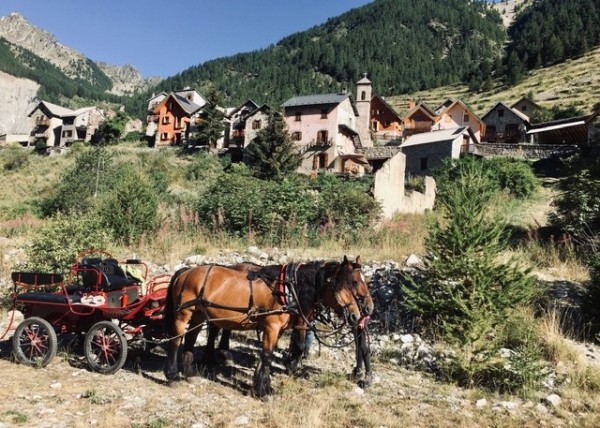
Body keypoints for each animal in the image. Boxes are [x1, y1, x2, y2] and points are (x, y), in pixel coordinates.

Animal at [165, 256, 370, 396]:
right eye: (344, 285)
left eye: (353, 284)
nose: (357, 315)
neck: (287, 290)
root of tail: (185, 272)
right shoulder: (272, 326)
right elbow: (268, 355)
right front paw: (263, 390)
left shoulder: (278, 329)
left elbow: (269, 354)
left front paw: (262, 384)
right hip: (183, 314)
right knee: (176, 341)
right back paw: (173, 375)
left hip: (199, 315)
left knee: (191, 338)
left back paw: (190, 372)